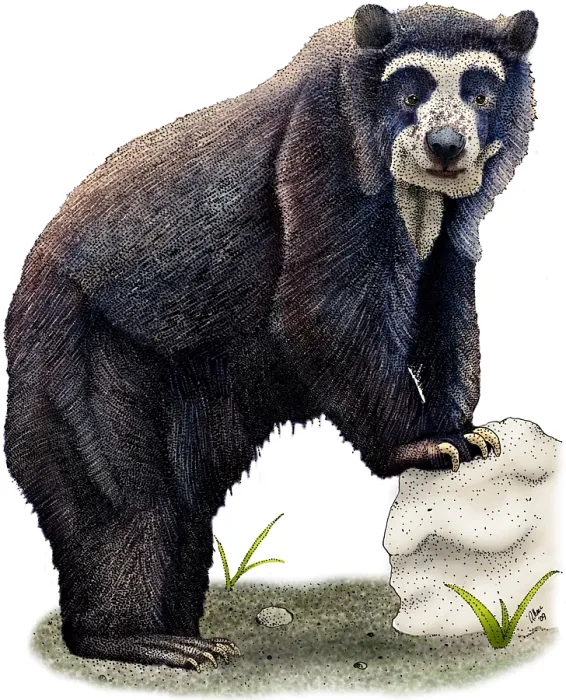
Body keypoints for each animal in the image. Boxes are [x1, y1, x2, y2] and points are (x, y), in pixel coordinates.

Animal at [4, 4, 537, 670]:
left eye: (481, 92)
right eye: (410, 92)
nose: (446, 146)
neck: (412, 188)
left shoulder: (452, 216)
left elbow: (448, 302)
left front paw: (468, 431)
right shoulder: (322, 149)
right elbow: (325, 306)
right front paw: (423, 444)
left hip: (197, 391)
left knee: (182, 506)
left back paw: (186, 631)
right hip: (80, 357)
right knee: (121, 499)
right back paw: (138, 639)